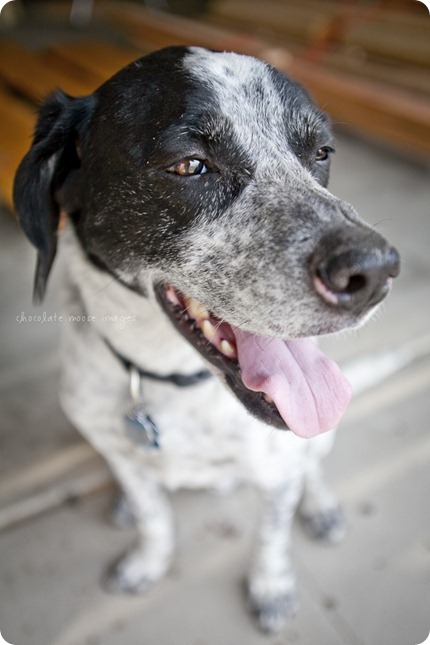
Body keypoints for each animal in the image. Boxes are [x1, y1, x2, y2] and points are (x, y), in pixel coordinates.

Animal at [14, 47, 400, 632]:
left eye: (321, 152)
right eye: (189, 165)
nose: (374, 271)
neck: (172, 382)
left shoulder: (277, 471)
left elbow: (271, 539)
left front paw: (271, 588)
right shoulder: (118, 452)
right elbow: (153, 519)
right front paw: (147, 561)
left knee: (313, 467)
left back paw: (321, 507)